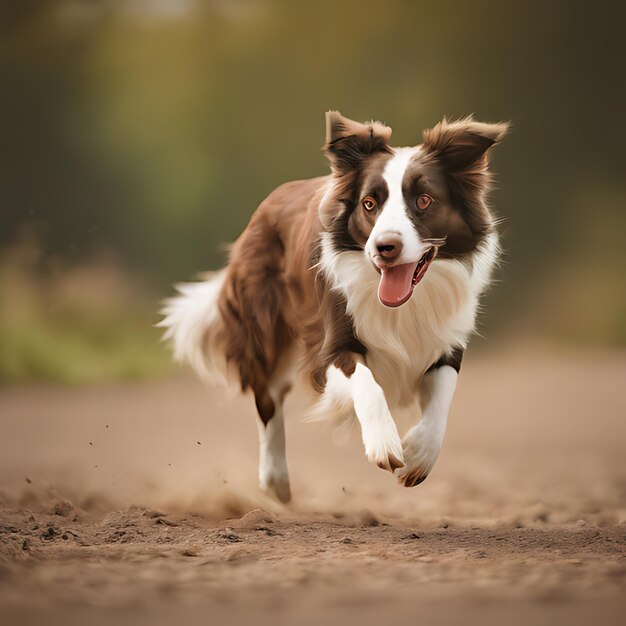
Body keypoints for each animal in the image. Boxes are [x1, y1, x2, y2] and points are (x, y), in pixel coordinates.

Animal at [158, 111, 504, 502]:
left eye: (425, 200)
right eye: (370, 203)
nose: (385, 247)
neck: (401, 306)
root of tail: (267, 203)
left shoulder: (445, 344)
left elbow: (443, 398)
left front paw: (419, 454)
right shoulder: (331, 347)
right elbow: (368, 385)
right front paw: (384, 443)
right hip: (265, 328)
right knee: (268, 396)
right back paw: (276, 481)